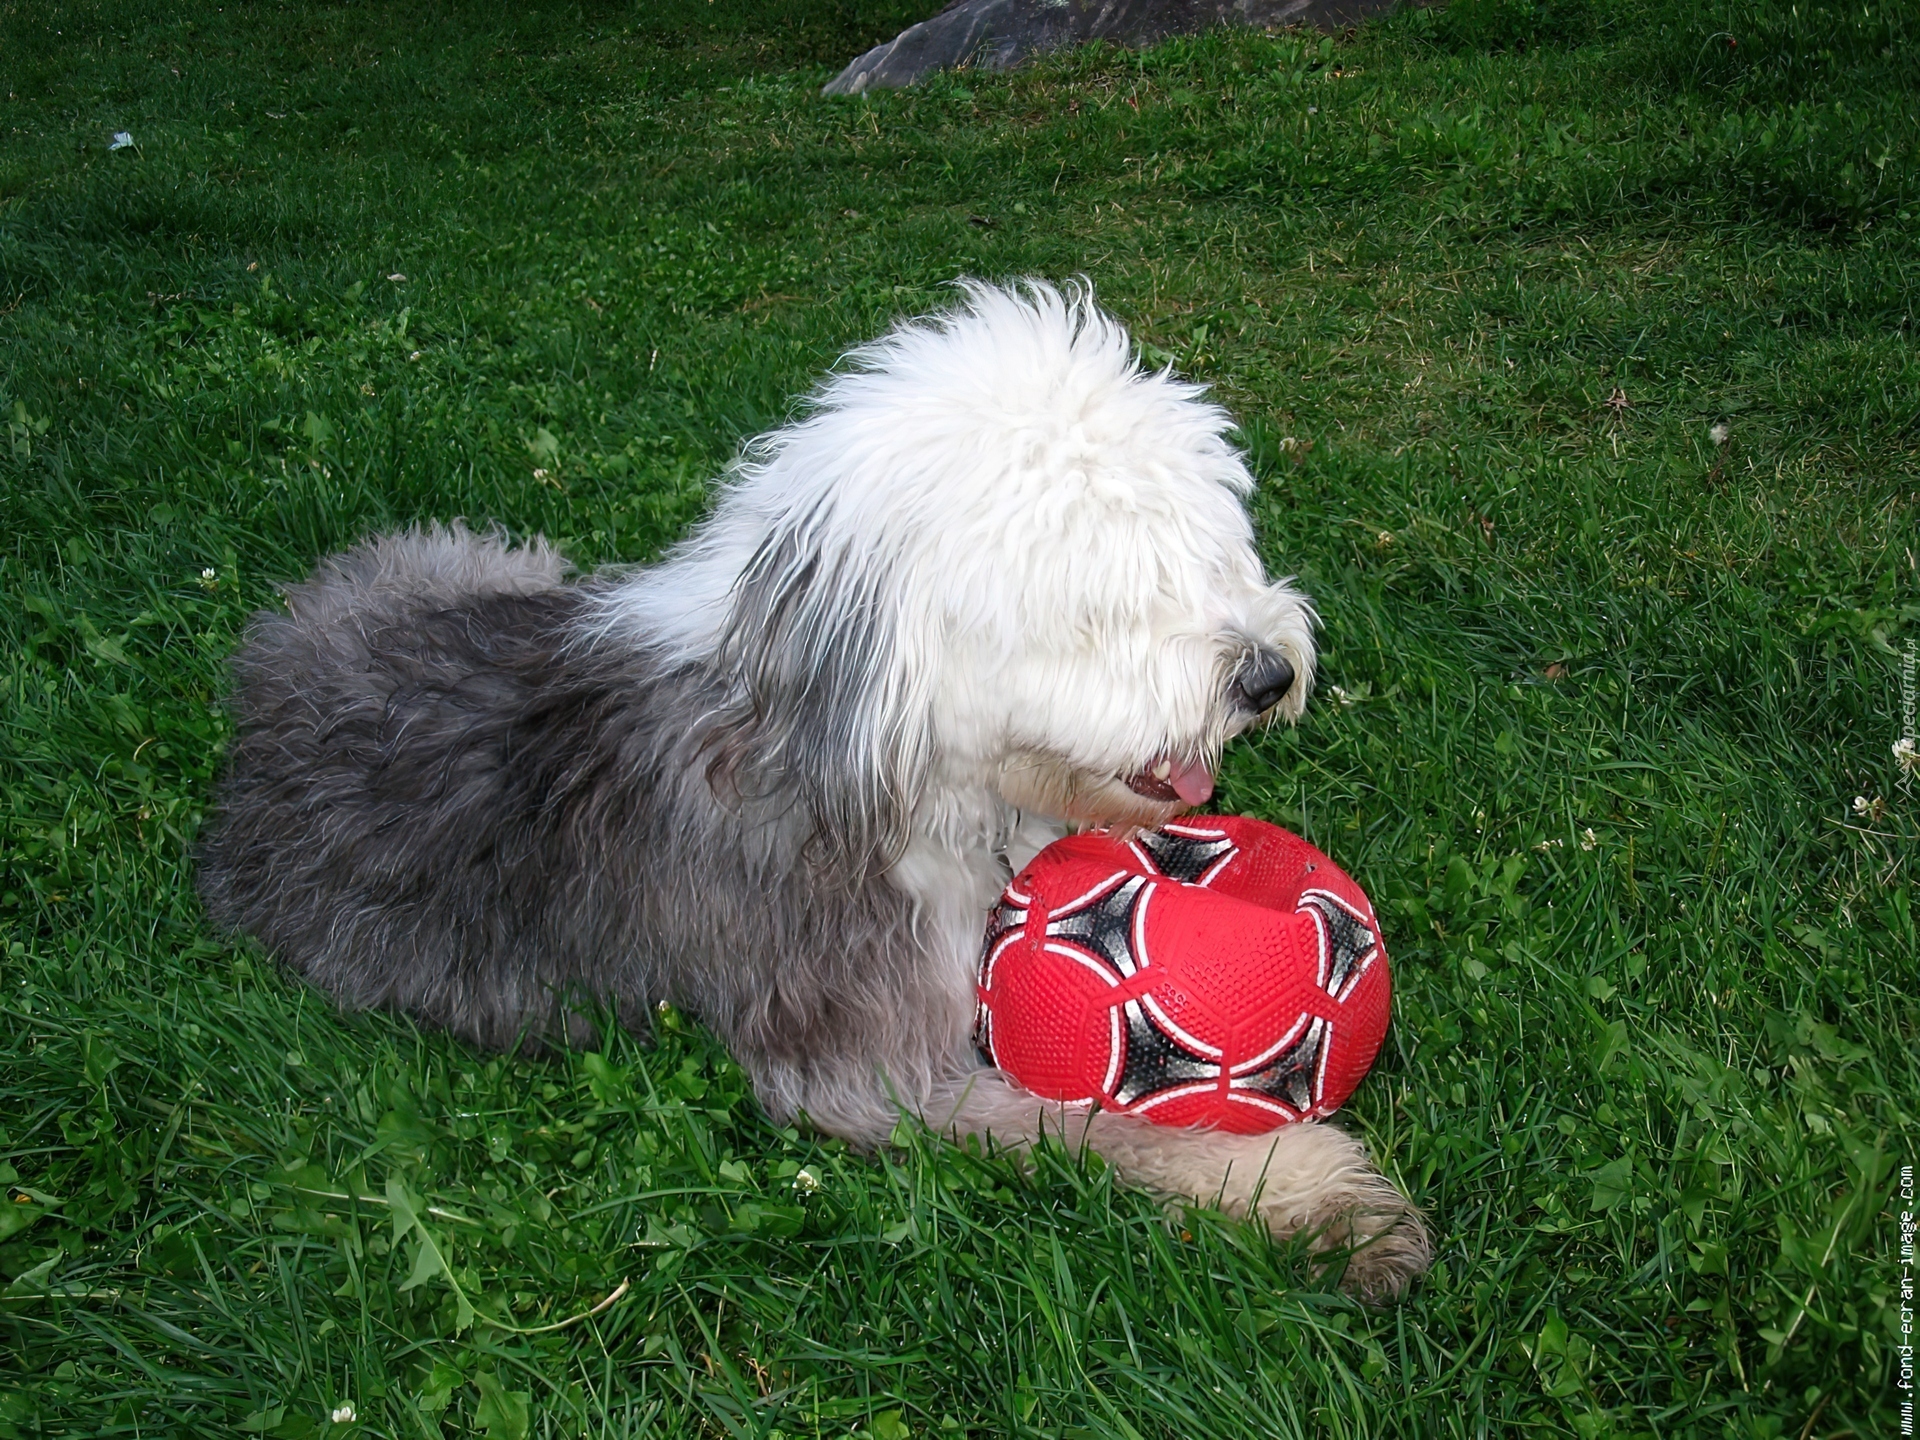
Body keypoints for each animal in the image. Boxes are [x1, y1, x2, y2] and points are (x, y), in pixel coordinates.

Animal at [198, 276, 1428, 1305]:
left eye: (1212, 548)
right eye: (1101, 597)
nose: (1266, 676)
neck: (881, 751)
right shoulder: (861, 1060)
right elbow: (1102, 1124)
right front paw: (1316, 1194)